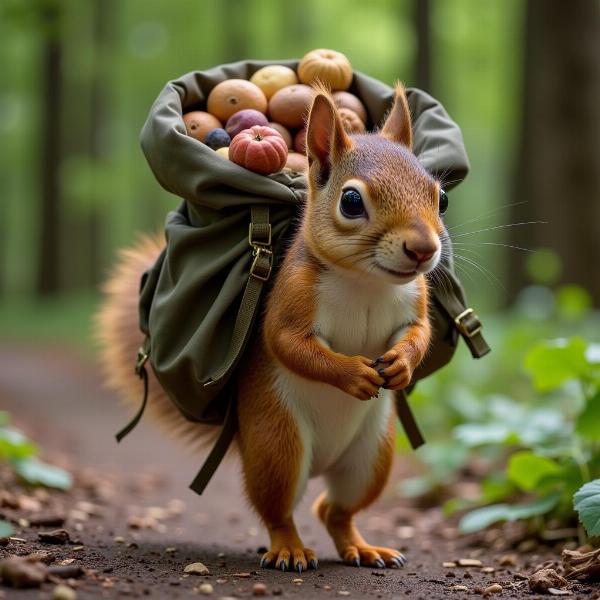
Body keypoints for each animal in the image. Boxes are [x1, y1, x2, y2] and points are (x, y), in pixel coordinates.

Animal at [97, 83, 446, 572]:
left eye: (440, 196)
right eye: (351, 202)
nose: (423, 249)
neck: (366, 282)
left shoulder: (415, 299)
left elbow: (420, 333)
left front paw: (400, 364)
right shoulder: (291, 295)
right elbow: (287, 344)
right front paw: (353, 374)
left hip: (372, 457)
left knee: (334, 509)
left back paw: (361, 547)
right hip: (278, 443)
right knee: (279, 511)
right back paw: (290, 549)